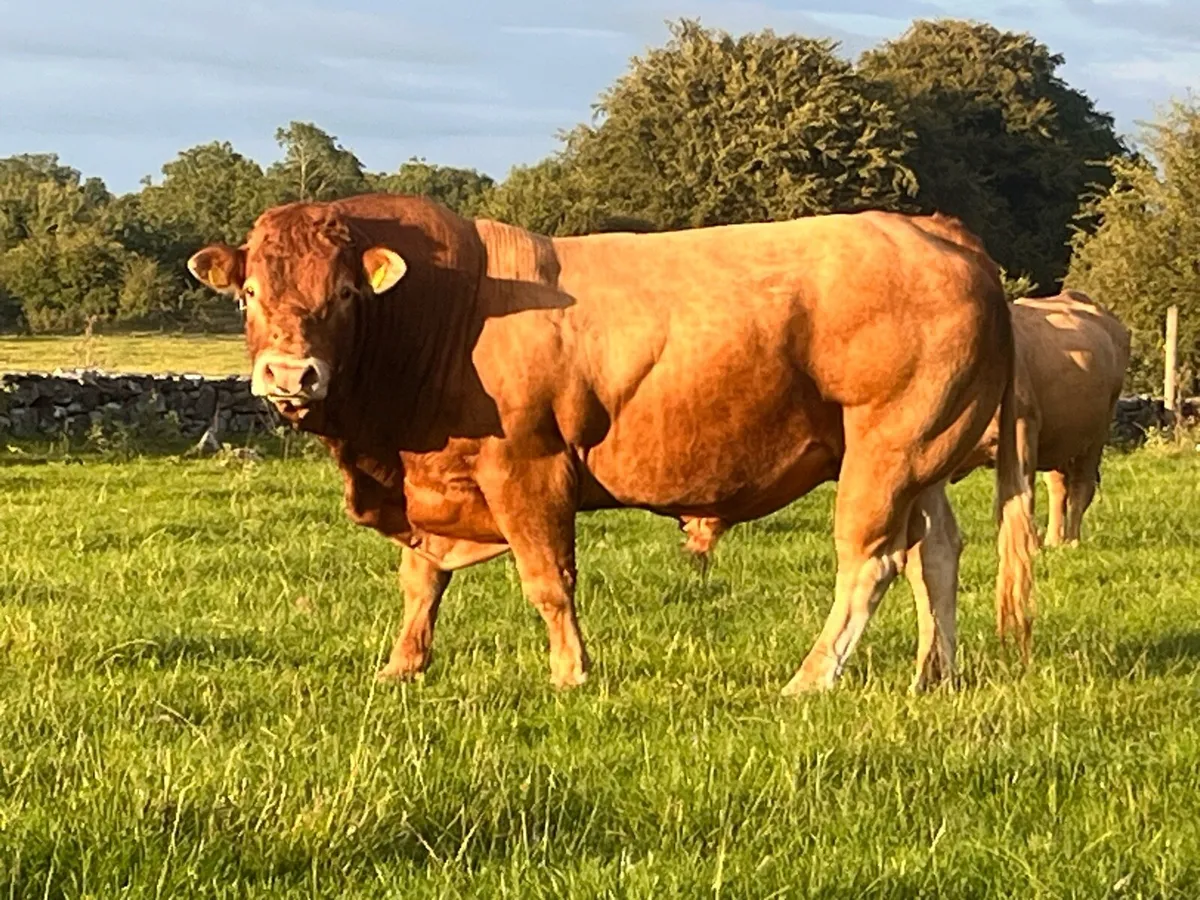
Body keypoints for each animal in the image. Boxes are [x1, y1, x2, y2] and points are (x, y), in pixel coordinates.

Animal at [187, 194, 1035, 694]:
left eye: (344, 293)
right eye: (251, 292)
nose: (290, 375)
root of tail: (933, 228)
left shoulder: (526, 469)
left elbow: (547, 581)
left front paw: (571, 672)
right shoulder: (435, 482)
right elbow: (421, 579)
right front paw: (404, 664)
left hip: (885, 449)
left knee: (872, 562)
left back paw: (812, 677)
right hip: (926, 454)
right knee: (937, 553)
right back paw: (934, 673)